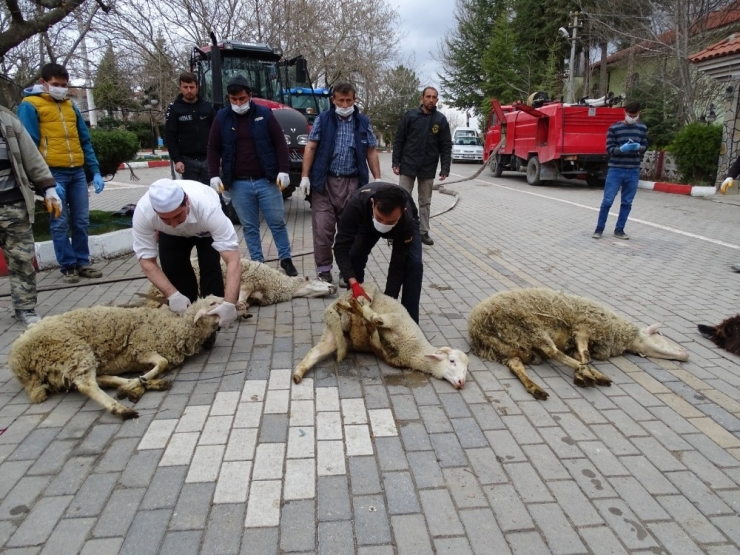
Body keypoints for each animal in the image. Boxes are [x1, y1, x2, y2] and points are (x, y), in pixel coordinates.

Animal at [9, 298, 243, 420]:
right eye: (212, 303)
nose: (235, 305)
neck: (174, 328)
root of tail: (19, 361)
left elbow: (160, 364)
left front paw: (138, 383)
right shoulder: (140, 347)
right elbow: (162, 362)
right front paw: (138, 383)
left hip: (66, 363)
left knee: (98, 379)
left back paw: (142, 386)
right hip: (72, 351)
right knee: (87, 385)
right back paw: (122, 408)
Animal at [147, 258, 336, 308]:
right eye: (319, 280)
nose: (333, 288)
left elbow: (248, 301)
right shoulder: (248, 282)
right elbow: (242, 298)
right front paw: (237, 306)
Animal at [294, 284, 468, 388]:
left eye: (466, 370)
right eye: (452, 361)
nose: (461, 382)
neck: (414, 351)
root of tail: (332, 307)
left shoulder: (383, 352)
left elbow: (375, 337)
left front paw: (371, 327)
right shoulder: (397, 320)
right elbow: (378, 319)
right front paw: (367, 315)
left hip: (334, 336)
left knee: (314, 353)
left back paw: (297, 374)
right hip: (364, 294)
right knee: (361, 302)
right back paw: (352, 305)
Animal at [468, 288, 688, 402]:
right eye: (659, 333)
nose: (686, 354)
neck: (617, 331)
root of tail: (476, 328)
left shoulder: (576, 341)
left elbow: (581, 354)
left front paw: (586, 372)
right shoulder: (583, 329)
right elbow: (585, 355)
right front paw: (584, 373)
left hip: (506, 346)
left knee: (516, 364)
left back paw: (536, 388)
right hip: (528, 326)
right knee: (552, 352)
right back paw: (588, 377)